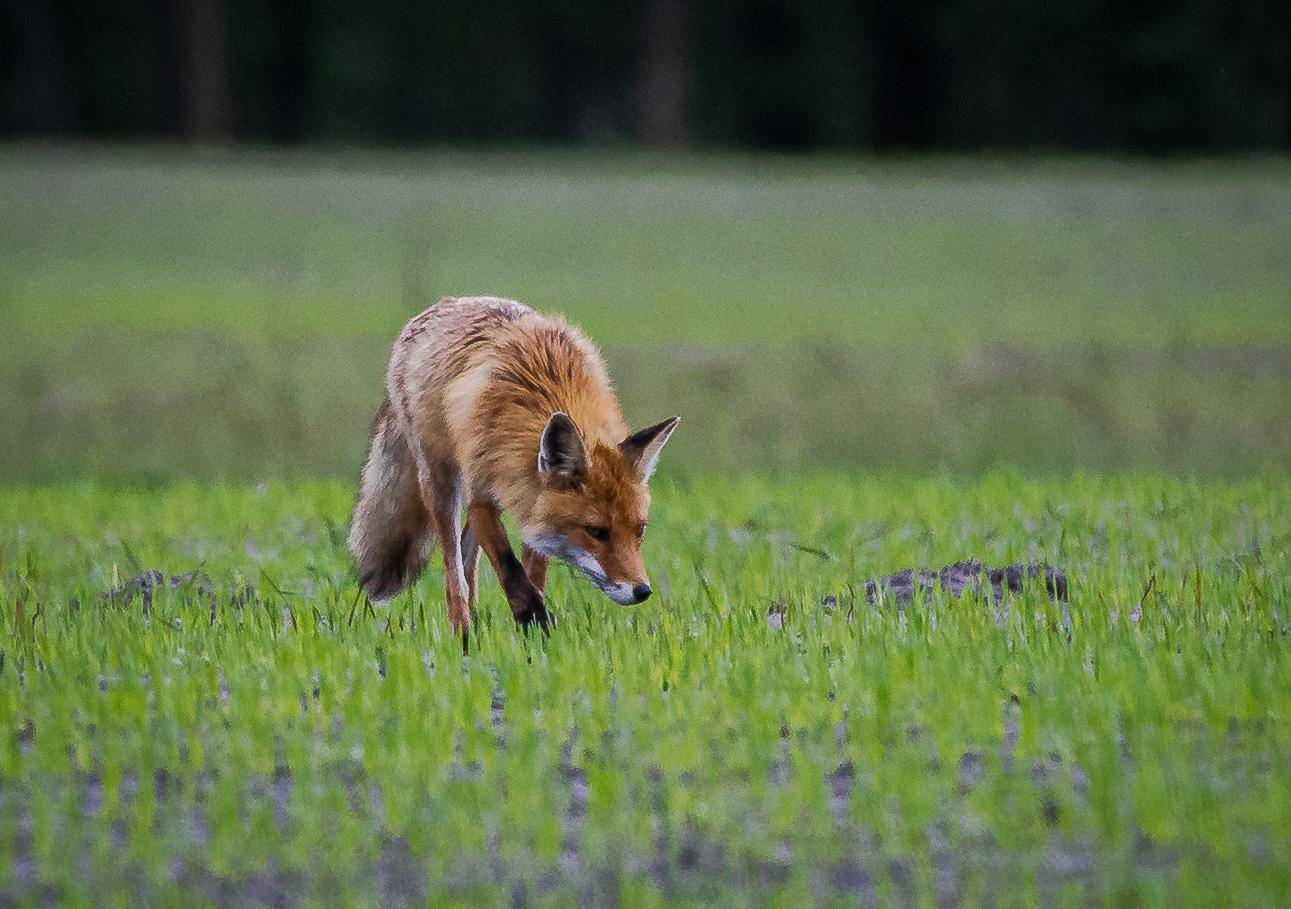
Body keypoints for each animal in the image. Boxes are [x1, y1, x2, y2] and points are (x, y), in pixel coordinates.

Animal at [348, 294, 681, 635]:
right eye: (596, 531)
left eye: (640, 530)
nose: (643, 591)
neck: (550, 388)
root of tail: (445, 302)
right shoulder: (481, 495)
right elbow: (509, 567)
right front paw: (535, 619)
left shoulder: (534, 506)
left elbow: (533, 576)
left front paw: (531, 633)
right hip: (441, 485)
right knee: (454, 575)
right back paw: (462, 633)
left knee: (467, 561)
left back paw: (475, 624)